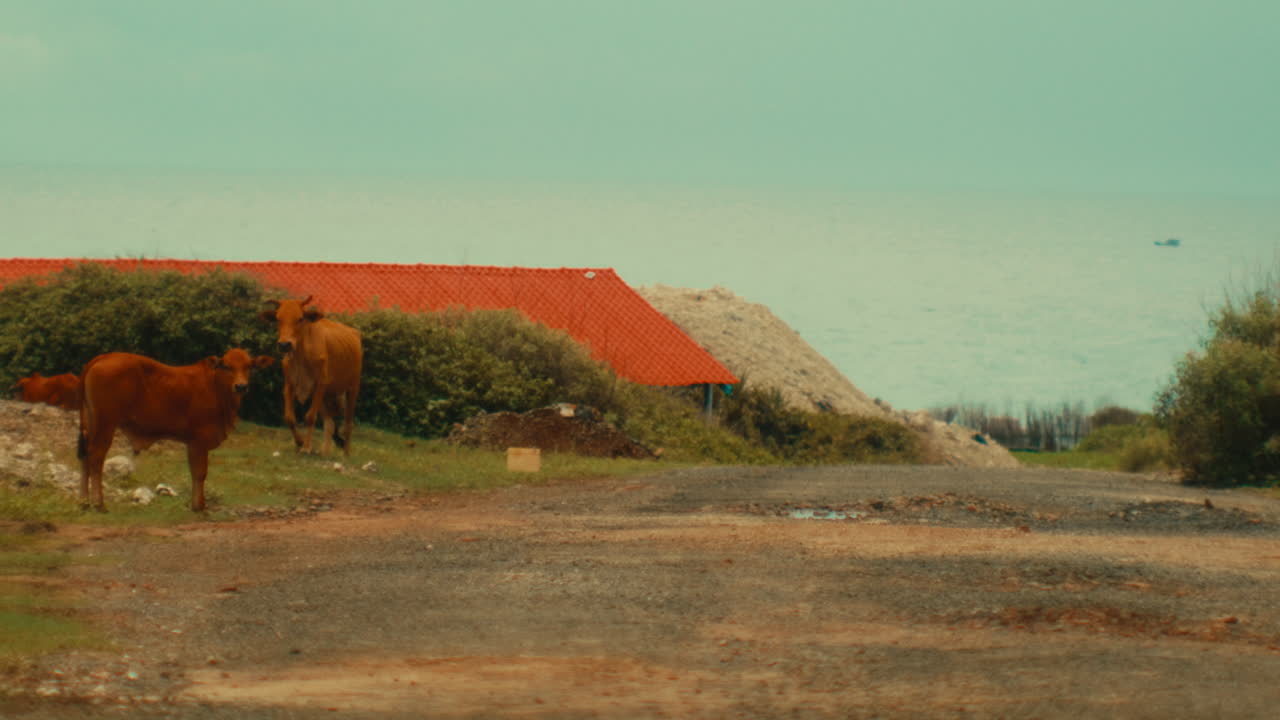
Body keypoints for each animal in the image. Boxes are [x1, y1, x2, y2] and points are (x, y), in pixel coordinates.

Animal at [77, 349, 274, 511]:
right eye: (227, 366)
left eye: (249, 366)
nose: (241, 386)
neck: (215, 387)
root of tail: (104, 357)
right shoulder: (199, 441)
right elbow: (200, 473)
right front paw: (199, 506)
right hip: (105, 424)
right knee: (96, 457)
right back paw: (99, 504)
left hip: (90, 424)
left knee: (85, 456)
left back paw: (84, 502)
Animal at [259, 296, 362, 456]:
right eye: (278, 319)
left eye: (300, 318)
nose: (284, 345)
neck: (301, 356)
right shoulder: (289, 385)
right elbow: (289, 417)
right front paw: (300, 442)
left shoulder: (320, 384)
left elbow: (310, 417)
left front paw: (306, 447)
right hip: (326, 395)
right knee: (330, 422)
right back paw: (325, 452)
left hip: (352, 387)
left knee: (348, 423)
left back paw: (345, 453)